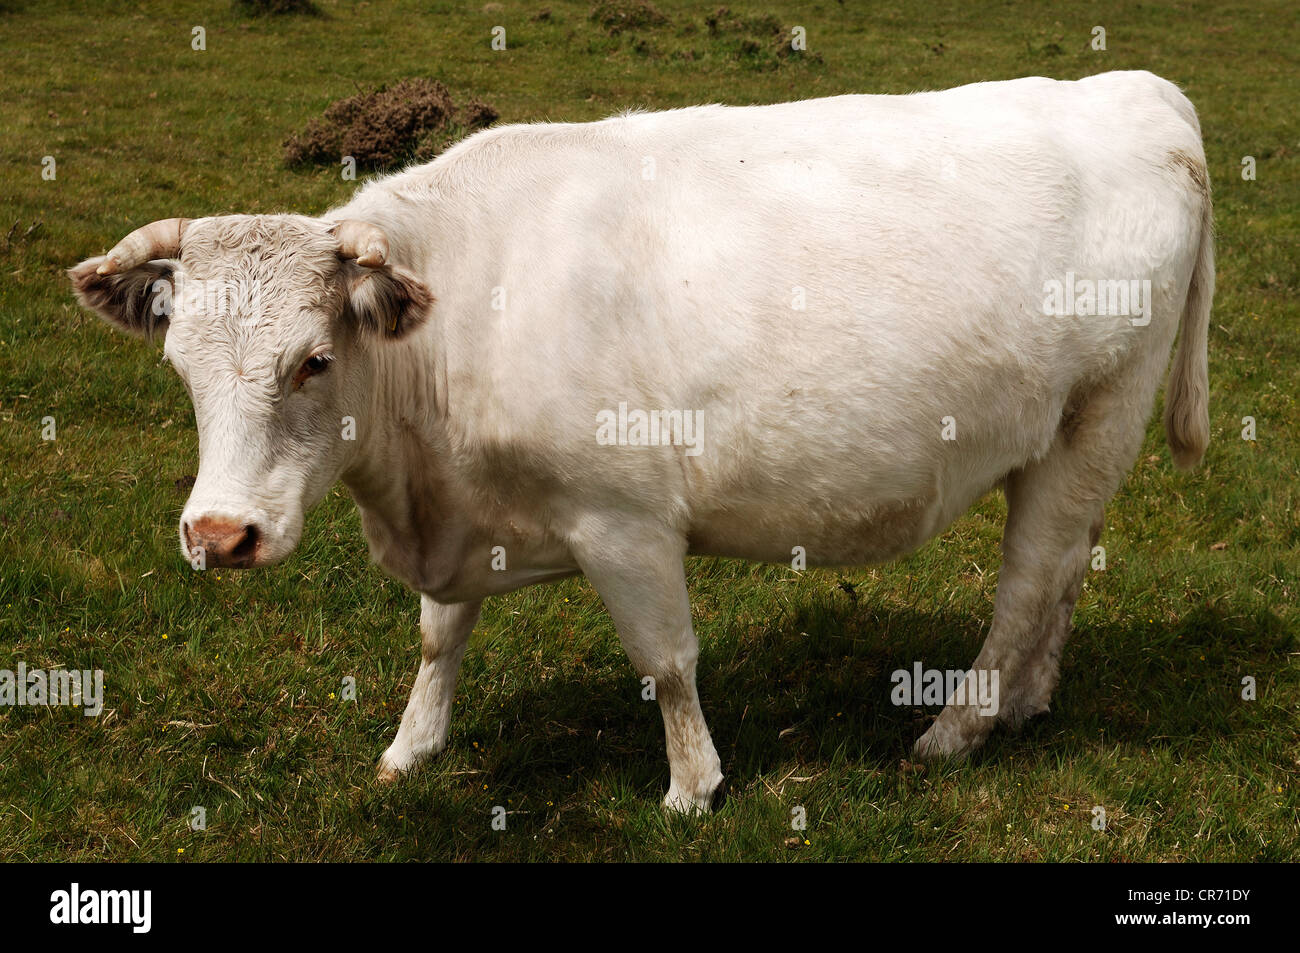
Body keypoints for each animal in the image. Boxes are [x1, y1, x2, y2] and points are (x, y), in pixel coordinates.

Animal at [71, 70, 1206, 811]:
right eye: (180, 368)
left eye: (312, 359)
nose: (219, 535)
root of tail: (1138, 89)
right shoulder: (456, 511)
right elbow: (440, 635)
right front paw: (411, 746)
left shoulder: (623, 519)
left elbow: (667, 657)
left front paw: (692, 787)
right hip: (1072, 440)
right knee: (1067, 568)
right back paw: (1027, 703)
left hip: (1098, 414)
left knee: (1025, 585)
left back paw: (955, 728)